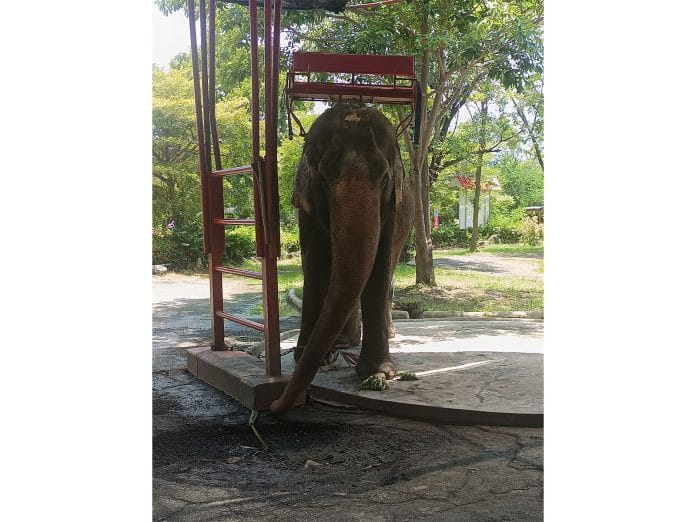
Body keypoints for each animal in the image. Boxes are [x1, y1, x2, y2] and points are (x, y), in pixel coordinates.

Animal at [270, 104, 415, 414]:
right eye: (323, 178)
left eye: (385, 178)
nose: (276, 404)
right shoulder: (306, 208)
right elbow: (314, 262)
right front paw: (305, 357)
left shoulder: (392, 212)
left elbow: (379, 264)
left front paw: (379, 372)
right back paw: (343, 344)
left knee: (389, 272)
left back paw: (384, 334)